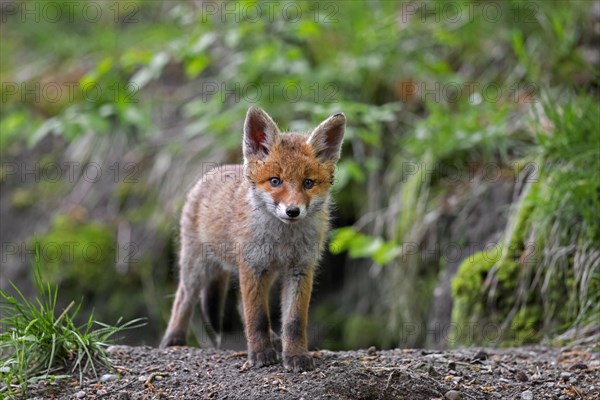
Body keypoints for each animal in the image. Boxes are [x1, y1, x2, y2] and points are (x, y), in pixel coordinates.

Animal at [162, 106, 344, 372]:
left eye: (308, 183)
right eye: (275, 181)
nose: (292, 211)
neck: (282, 240)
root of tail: (215, 170)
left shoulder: (300, 269)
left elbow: (294, 321)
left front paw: (295, 355)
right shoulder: (252, 266)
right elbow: (256, 317)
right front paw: (260, 353)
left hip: (268, 273)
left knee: (238, 305)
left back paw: (276, 340)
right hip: (197, 266)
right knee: (184, 297)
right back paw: (174, 339)